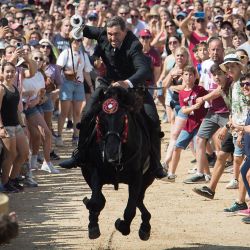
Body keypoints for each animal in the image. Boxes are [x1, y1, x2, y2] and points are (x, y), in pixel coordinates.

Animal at [81, 86, 154, 240]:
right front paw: (93, 225)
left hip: (148, 177)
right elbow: (96, 201)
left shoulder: (137, 177)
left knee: (139, 199)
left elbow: (130, 209)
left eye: (123, 118)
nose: (111, 152)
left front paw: (121, 225)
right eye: (100, 119)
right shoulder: (93, 170)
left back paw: (145, 226)